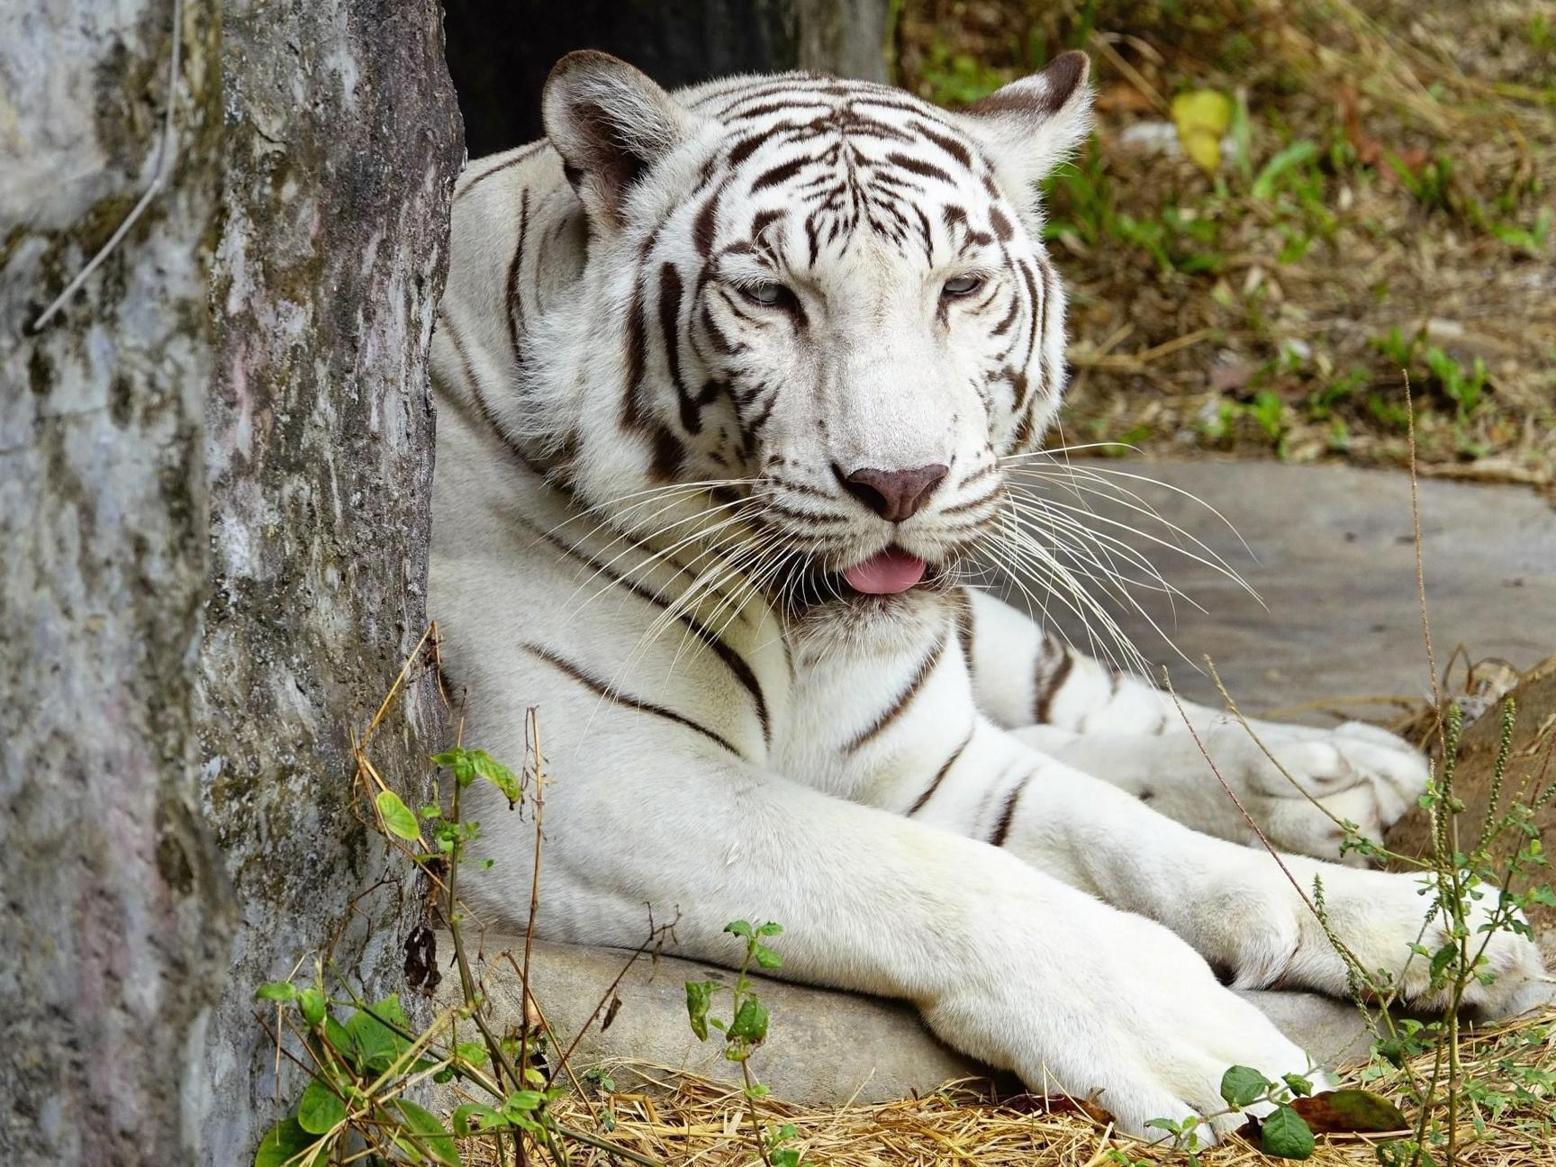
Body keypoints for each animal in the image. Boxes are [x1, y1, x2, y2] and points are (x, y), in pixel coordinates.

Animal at [429, 52, 1543, 1145]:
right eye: (769, 296)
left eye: (959, 288)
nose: (898, 483)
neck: (803, 647)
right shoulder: (590, 783)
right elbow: (945, 874)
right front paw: (1189, 1034)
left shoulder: (921, 759)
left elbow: (1120, 832)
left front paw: (1423, 924)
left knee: (1083, 705)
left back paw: (1338, 775)